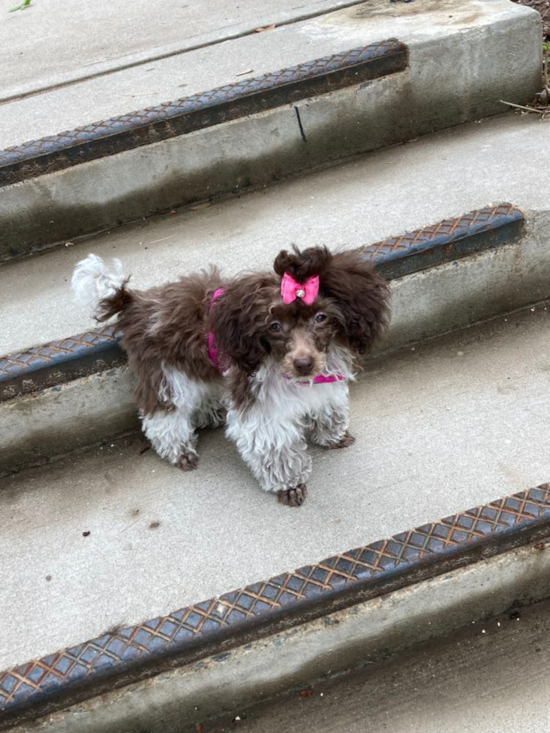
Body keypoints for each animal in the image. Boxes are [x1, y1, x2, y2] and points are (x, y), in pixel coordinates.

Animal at [72, 246, 392, 504]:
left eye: (321, 317)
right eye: (274, 326)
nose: (303, 363)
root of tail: (135, 302)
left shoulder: (322, 382)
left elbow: (327, 409)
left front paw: (332, 435)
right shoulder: (260, 409)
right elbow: (275, 449)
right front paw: (289, 485)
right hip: (167, 374)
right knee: (162, 417)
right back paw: (179, 450)